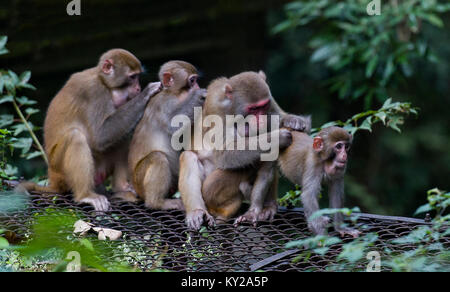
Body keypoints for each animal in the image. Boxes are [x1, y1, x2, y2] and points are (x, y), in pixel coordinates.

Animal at [16, 49, 163, 211]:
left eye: (137, 76)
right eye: (132, 77)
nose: (138, 88)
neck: (103, 81)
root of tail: (53, 177)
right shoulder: (94, 91)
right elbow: (100, 136)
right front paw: (147, 92)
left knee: (122, 137)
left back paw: (122, 187)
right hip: (60, 169)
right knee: (76, 137)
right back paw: (85, 195)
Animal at [128, 60, 206, 210]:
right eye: (192, 81)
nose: (198, 86)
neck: (174, 93)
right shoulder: (164, 103)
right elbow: (172, 125)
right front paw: (199, 96)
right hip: (139, 181)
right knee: (157, 157)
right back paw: (156, 202)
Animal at [178, 71, 310, 230]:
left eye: (263, 106)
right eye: (253, 109)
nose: (261, 120)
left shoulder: (269, 100)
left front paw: (292, 120)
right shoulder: (218, 108)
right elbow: (225, 153)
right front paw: (278, 137)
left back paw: (268, 206)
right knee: (189, 157)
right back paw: (197, 211)